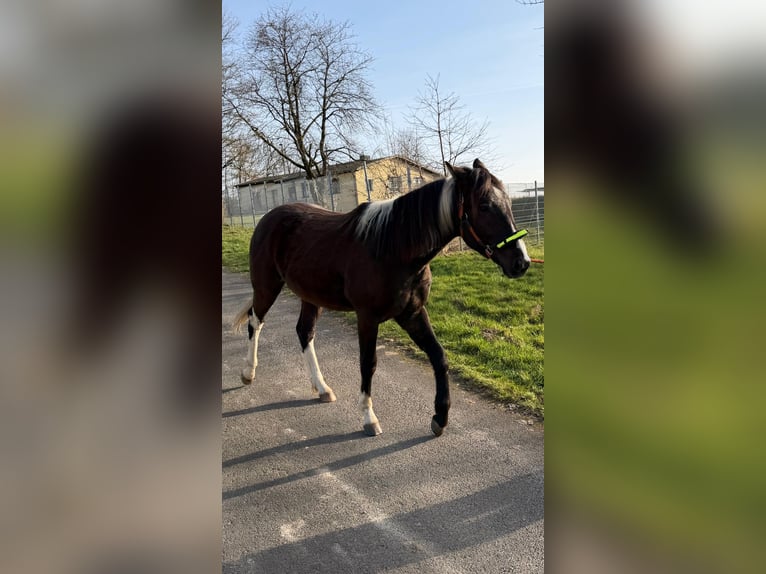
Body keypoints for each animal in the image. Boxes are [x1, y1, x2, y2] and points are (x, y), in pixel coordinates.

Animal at [232, 159, 531, 437]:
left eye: (507, 201)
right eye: (484, 205)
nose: (521, 262)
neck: (393, 248)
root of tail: (269, 218)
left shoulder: (412, 313)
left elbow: (439, 356)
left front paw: (440, 417)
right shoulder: (367, 318)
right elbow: (369, 363)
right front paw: (368, 417)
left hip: (310, 296)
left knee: (305, 332)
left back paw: (322, 388)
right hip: (267, 286)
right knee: (255, 322)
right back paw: (248, 373)